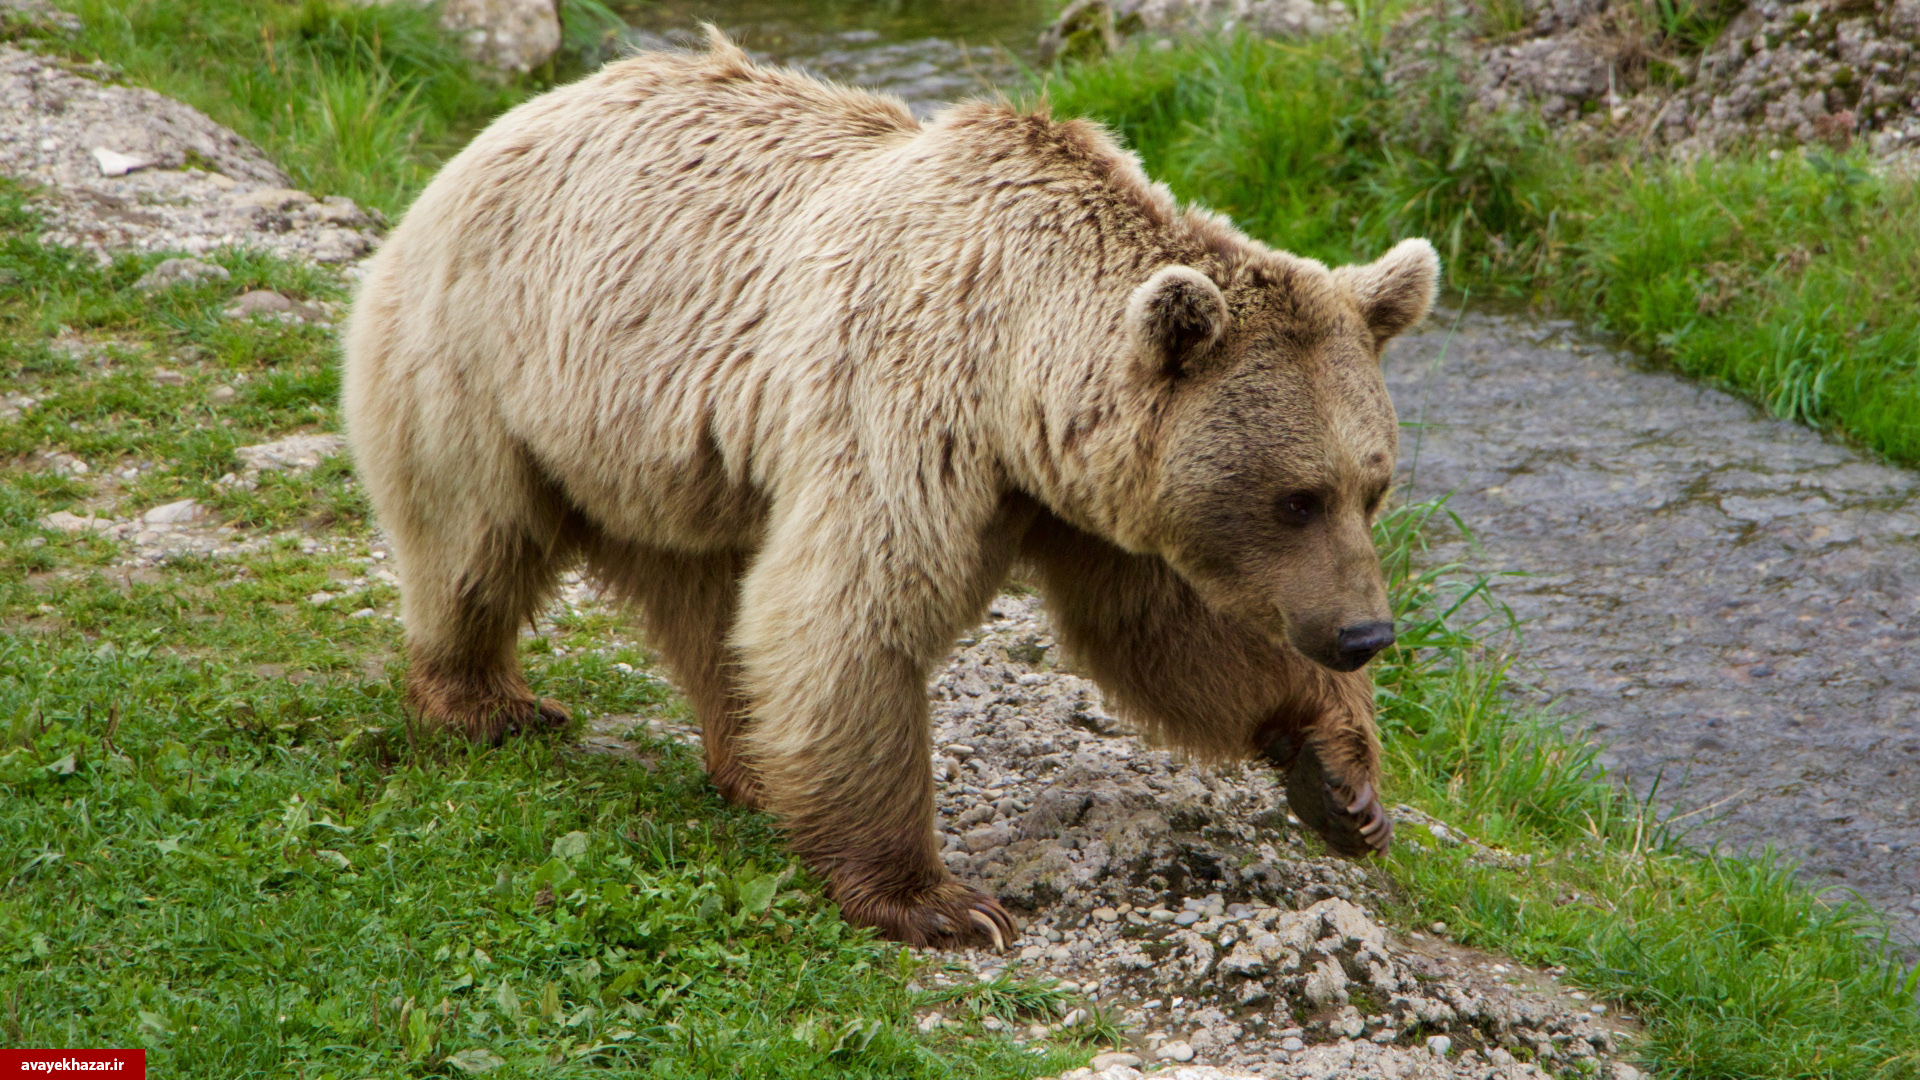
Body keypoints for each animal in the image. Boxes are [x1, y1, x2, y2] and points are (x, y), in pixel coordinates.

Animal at [337, 29, 1436, 945]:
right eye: (1296, 497)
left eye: (1372, 486)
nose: (1364, 633)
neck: (1018, 375)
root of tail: (497, 130)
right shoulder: (905, 404)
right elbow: (855, 612)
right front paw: (937, 901)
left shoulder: (1086, 494)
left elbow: (1165, 630)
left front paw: (1342, 780)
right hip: (495, 363)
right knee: (476, 539)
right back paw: (487, 702)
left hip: (671, 459)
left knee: (710, 603)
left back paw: (751, 761)